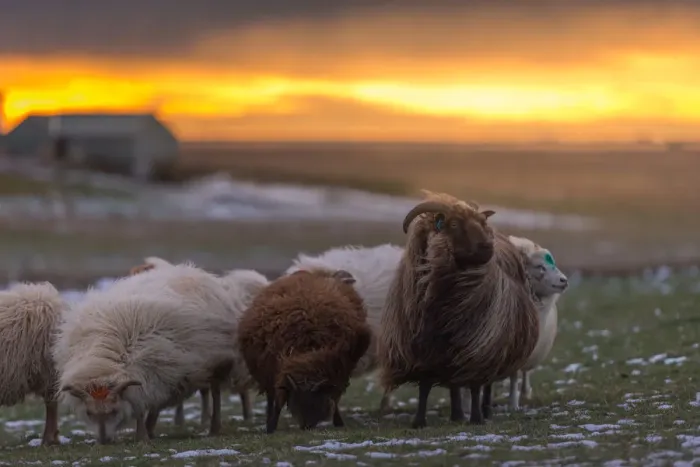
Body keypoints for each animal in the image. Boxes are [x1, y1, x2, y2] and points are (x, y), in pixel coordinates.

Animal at [53, 263, 246, 443]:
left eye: (114, 411)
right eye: (89, 413)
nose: (104, 441)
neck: (104, 357)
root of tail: (193, 270)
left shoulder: (149, 375)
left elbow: (140, 408)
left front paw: (141, 436)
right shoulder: (151, 376)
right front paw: (145, 432)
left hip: (216, 362)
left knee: (215, 393)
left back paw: (214, 428)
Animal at [238, 268, 372, 434]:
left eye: (316, 403)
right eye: (295, 403)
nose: (306, 426)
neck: (307, 353)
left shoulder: (339, 371)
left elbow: (335, 399)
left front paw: (338, 421)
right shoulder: (275, 370)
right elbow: (278, 402)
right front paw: (271, 427)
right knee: (270, 398)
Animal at [377, 190, 540, 428]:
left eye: (482, 222)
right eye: (453, 224)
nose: (486, 247)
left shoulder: (478, 347)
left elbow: (475, 386)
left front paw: (477, 418)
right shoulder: (423, 347)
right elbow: (425, 386)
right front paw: (419, 421)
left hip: (495, 343)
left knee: (485, 384)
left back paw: (485, 411)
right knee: (454, 383)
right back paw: (457, 414)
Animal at [461, 235, 569, 413]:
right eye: (540, 267)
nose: (564, 280)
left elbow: (515, 377)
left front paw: (513, 404)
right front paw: (468, 405)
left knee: (524, 375)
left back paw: (525, 392)